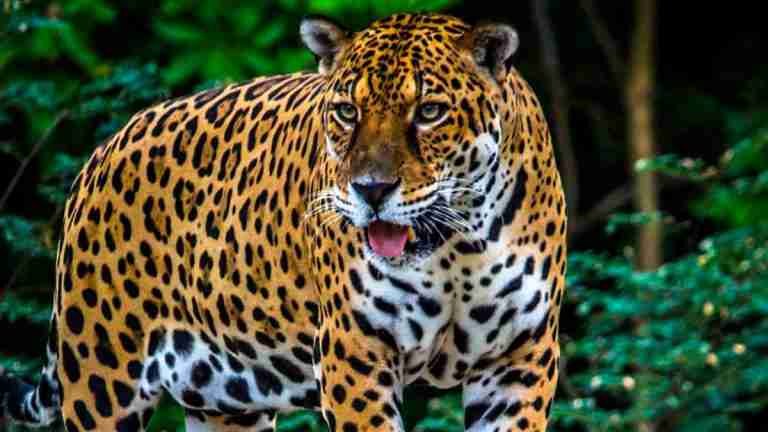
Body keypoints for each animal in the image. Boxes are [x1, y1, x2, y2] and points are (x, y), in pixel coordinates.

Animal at [0, 12, 567, 432]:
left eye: (429, 112)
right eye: (346, 111)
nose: (371, 190)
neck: (456, 248)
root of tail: (102, 151)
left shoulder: (520, 358)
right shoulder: (354, 351)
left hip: (226, 402)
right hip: (102, 375)